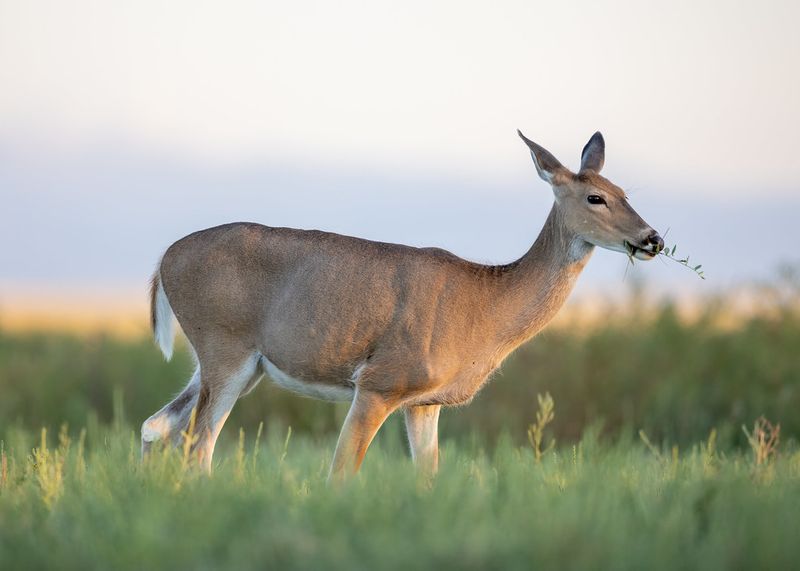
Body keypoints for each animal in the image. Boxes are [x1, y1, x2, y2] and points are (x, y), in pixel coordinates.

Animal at [141, 130, 664, 479]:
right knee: (198, 446)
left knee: (156, 425)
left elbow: (427, 477)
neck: (485, 307)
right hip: (224, 347)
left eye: (624, 194)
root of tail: (164, 259)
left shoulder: (425, 402)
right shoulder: (380, 381)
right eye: (595, 197)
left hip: (237, 364)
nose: (653, 239)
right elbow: (341, 472)